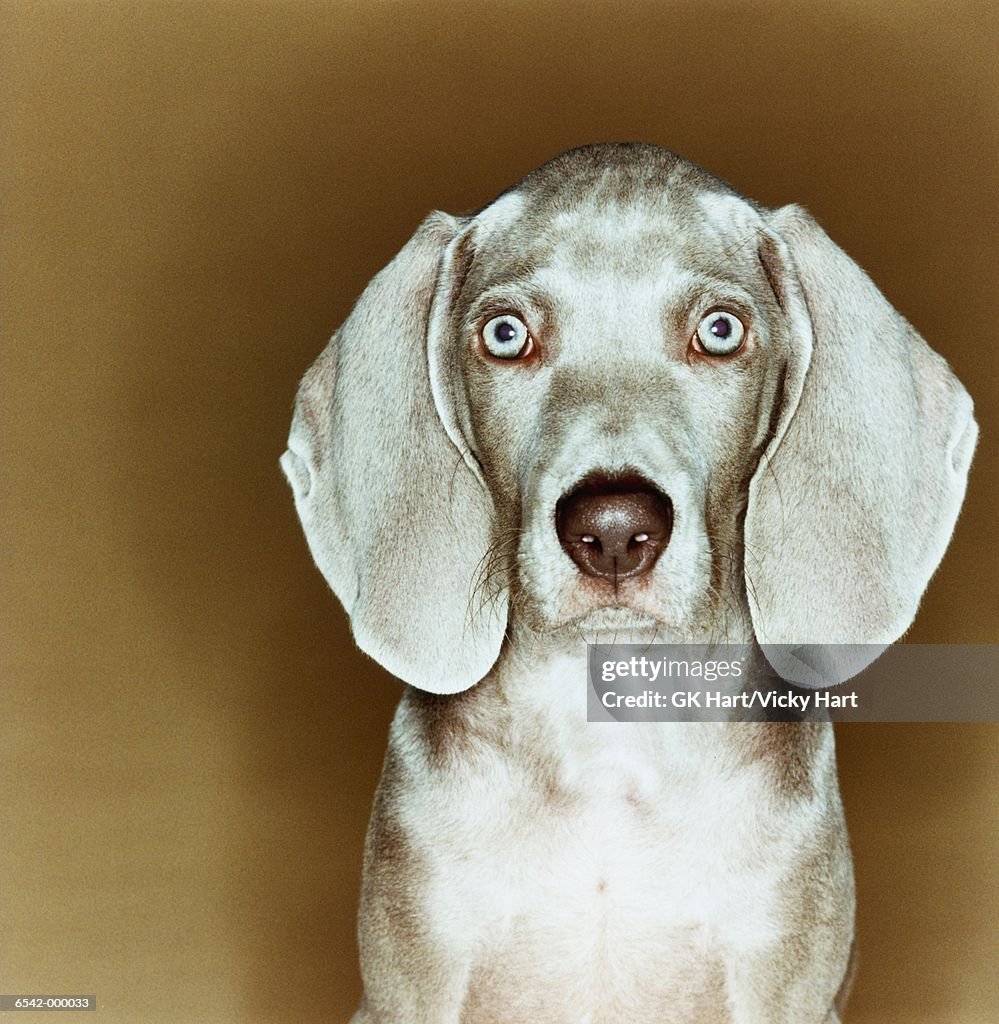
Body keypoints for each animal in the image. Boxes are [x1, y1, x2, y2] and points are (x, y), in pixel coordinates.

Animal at [278, 144, 974, 1024]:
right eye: (505, 334)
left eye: (720, 330)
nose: (612, 530)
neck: (610, 737)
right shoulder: (413, 980)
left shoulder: (779, 976)